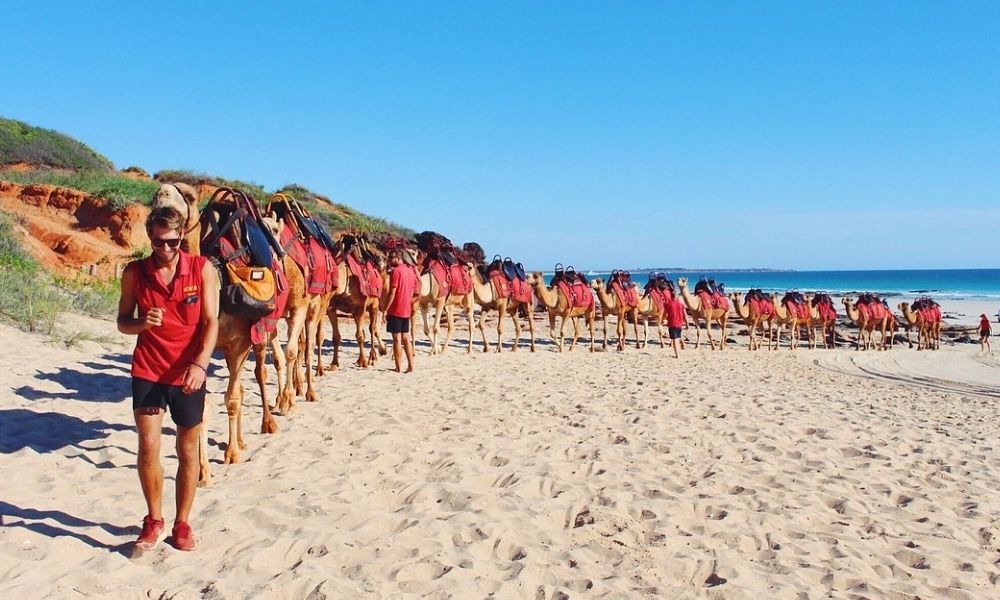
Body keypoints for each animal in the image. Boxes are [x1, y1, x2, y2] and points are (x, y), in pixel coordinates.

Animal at [152, 180, 286, 486]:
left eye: (188, 197)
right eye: (155, 197)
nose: (164, 210)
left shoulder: (239, 344)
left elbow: (233, 399)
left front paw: (232, 454)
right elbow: (200, 408)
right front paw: (202, 473)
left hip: (260, 335)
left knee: (259, 373)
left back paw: (267, 424)